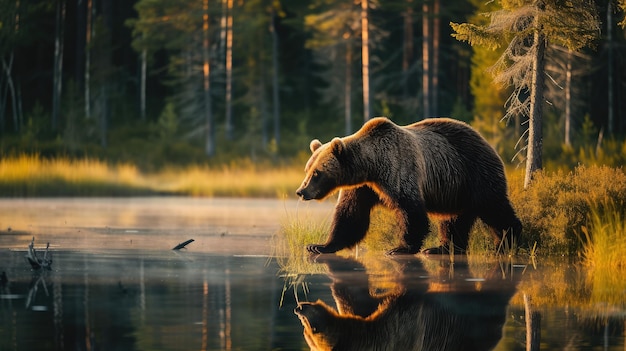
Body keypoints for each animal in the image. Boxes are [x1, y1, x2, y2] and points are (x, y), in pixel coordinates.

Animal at [294, 117, 520, 254]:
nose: (301, 191)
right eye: (307, 169)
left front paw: (400, 248)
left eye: (317, 173)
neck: (371, 167)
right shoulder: (362, 187)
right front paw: (319, 246)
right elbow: (350, 215)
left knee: (494, 207)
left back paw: (507, 241)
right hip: (454, 189)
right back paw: (442, 248)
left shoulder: (399, 168)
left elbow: (411, 210)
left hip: (474, 174)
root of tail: (487, 142)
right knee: (453, 219)